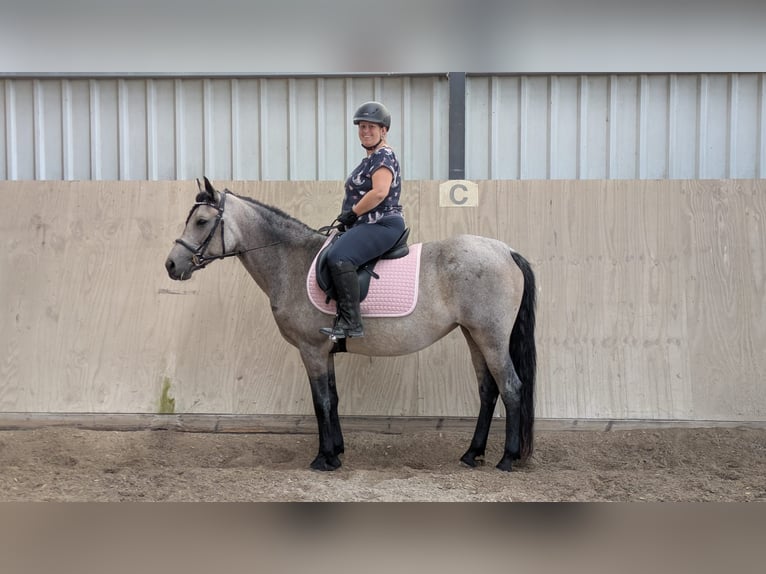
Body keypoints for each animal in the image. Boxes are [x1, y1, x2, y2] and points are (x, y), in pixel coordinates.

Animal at [165, 178, 537, 472]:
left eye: (201, 221)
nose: (171, 265)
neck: (292, 261)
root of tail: (506, 251)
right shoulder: (325, 351)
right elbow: (334, 397)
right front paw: (338, 452)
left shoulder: (311, 350)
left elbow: (321, 402)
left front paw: (323, 458)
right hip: (474, 336)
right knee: (488, 390)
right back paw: (472, 454)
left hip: (490, 337)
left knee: (511, 388)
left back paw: (506, 459)